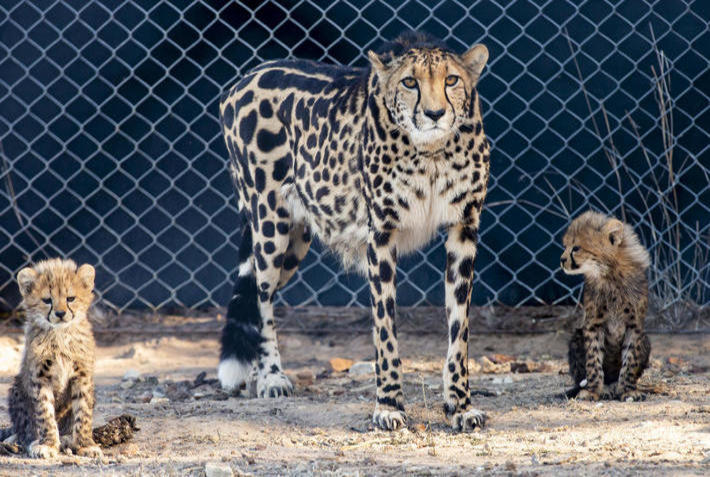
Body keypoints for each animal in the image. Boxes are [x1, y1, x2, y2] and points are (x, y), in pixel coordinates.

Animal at [0, 258, 103, 459]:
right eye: (47, 300)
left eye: (70, 298)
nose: (60, 313)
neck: (60, 334)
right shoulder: (40, 377)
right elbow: (45, 413)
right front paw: (47, 444)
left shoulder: (82, 376)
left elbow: (83, 413)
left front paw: (85, 444)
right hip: (17, 390)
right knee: (24, 428)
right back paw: (24, 440)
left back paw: (68, 438)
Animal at [217, 31, 491, 432]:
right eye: (410, 82)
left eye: (452, 80)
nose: (435, 114)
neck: (432, 152)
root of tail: (245, 76)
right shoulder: (381, 235)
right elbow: (385, 329)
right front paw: (389, 405)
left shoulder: (463, 230)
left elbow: (459, 330)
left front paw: (460, 405)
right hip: (269, 222)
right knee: (262, 295)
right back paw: (270, 376)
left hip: (296, 240)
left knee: (256, 293)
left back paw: (254, 376)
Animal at [560, 211, 652, 402]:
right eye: (565, 246)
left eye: (576, 248)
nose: (562, 260)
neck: (609, 273)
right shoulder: (593, 325)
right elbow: (593, 360)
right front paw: (593, 391)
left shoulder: (634, 326)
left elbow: (630, 360)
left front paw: (628, 390)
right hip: (577, 337)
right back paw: (603, 388)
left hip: (646, 340)